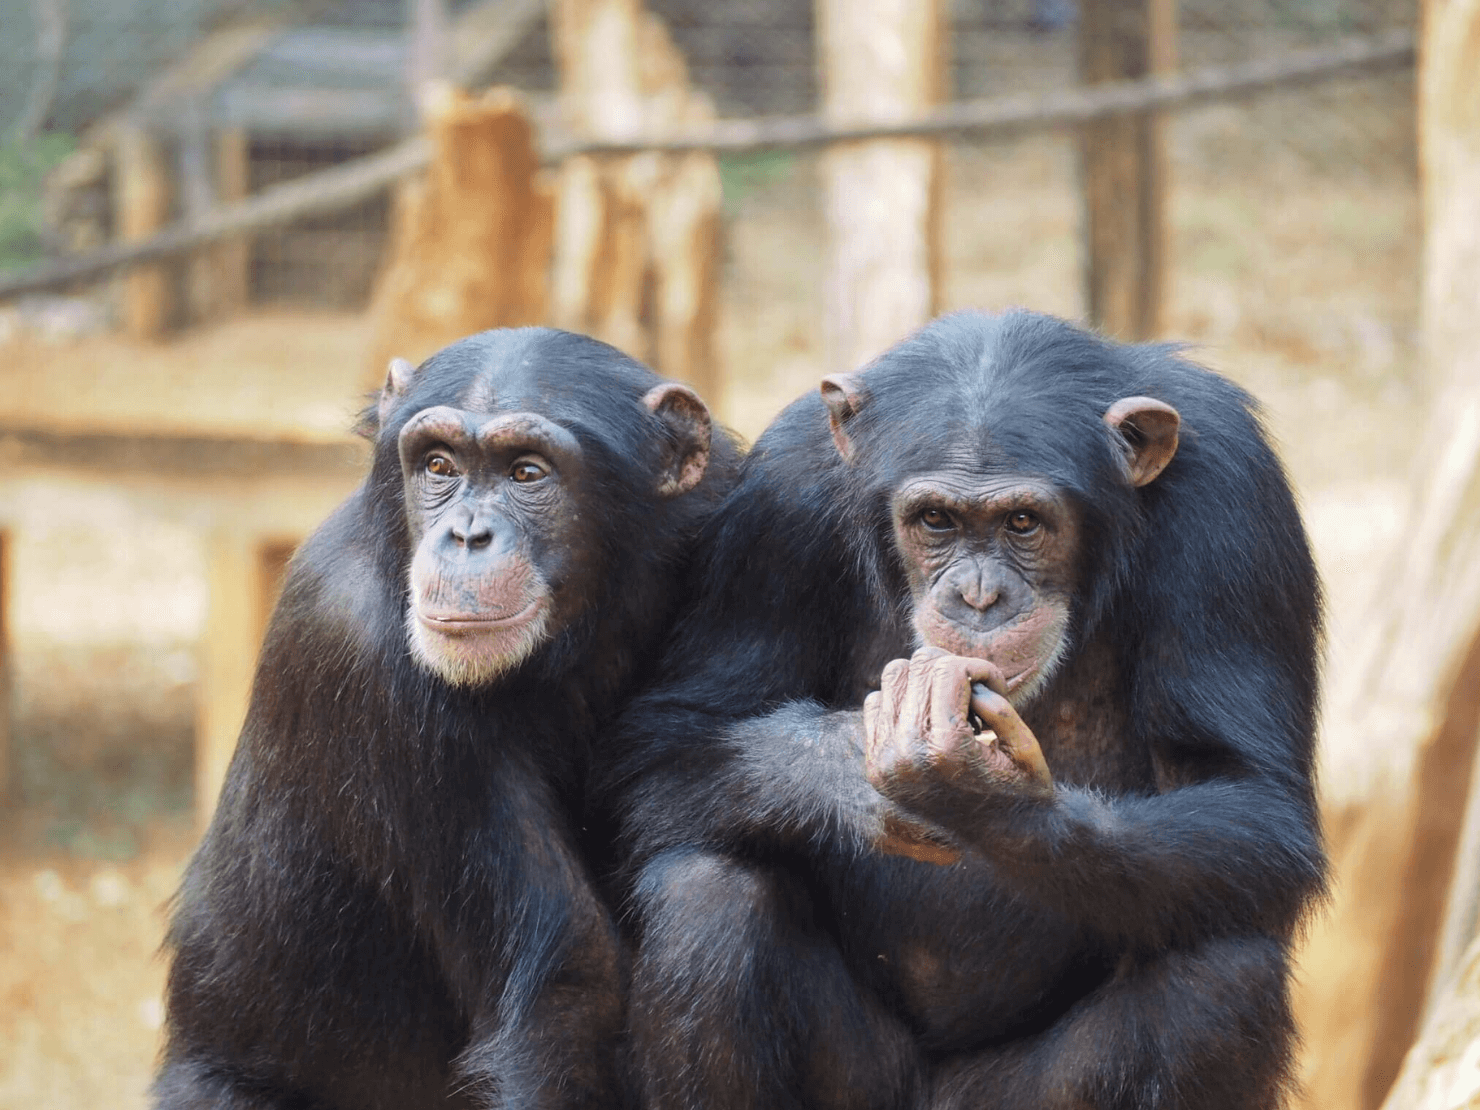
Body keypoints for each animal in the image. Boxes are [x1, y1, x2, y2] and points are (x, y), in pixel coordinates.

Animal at [600, 310, 1332, 1110]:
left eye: (1023, 522)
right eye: (936, 520)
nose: (979, 597)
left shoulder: (1231, 495)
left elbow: (1249, 794)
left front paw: (983, 799)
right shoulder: (778, 497)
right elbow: (673, 740)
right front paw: (845, 772)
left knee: (1221, 973)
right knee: (708, 902)